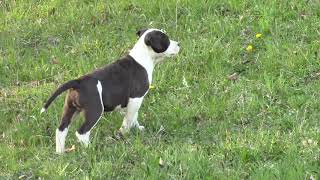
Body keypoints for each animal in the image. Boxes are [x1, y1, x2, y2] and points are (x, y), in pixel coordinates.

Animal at [41, 28, 180, 153]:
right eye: (166, 40)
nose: (179, 44)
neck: (143, 56)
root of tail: (78, 82)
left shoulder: (133, 101)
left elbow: (133, 116)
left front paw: (137, 129)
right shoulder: (136, 98)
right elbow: (129, 118)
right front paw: (125, 133)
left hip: (70, 109)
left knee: (61, 130)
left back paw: (60, 153)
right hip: (95, 111)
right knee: (82, 132)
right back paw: (91, 149)